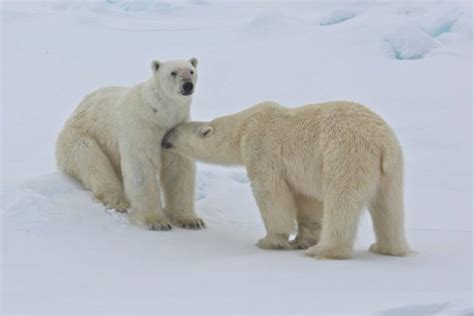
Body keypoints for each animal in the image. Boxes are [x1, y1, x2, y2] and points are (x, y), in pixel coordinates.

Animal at [55, 57, 204, 230]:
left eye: (191, 71)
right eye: (173, 72)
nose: (187, 85)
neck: (159, 114)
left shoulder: (175, 129)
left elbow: (178, 168)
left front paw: (191, 220)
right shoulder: (141, 127)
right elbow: (141, 167)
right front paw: (156, 222)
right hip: (79, 137)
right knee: (93, 162)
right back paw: (119, 202)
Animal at [163, 100, 412, 260]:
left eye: (174, 131)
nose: (163, 139)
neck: (243, 126)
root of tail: (381, 143)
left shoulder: (262, 147)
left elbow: (271, 192)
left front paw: (270, 241)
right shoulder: (302, 173)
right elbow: (307, 201)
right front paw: (302, 240)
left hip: (346, 155)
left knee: (342, 201)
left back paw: (324, 251)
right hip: (391, 168)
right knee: (388, 206)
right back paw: (386, 247)